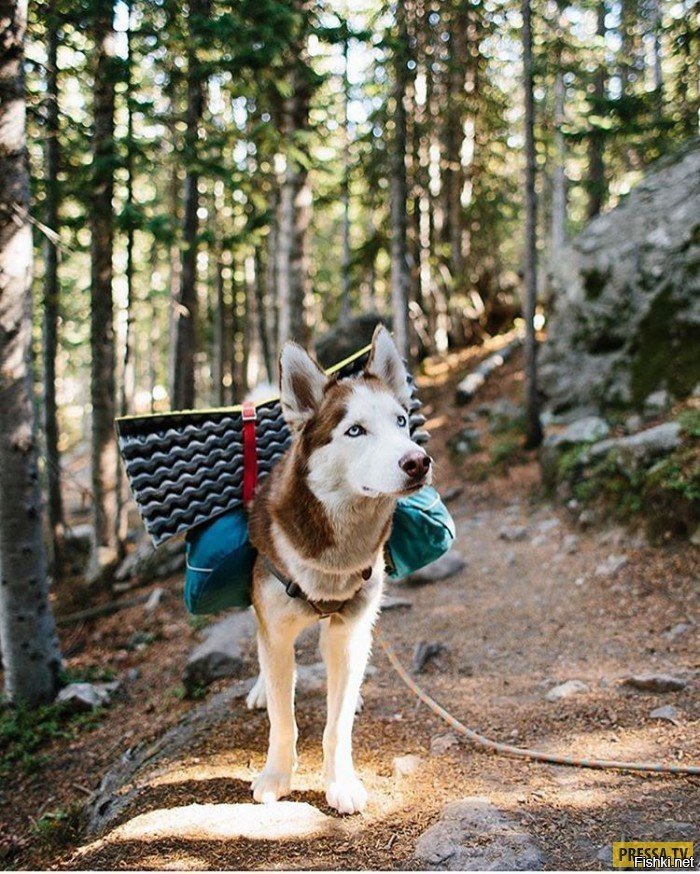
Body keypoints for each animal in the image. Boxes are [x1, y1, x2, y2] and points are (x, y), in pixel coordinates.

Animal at [246, 326, 432, 812]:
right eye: (355, 430)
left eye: (401, 421)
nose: (418, 461)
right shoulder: (276, 631)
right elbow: (283, 719)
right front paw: (276, 776)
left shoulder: (348, 630)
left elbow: (338, 724)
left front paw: (341, 781)